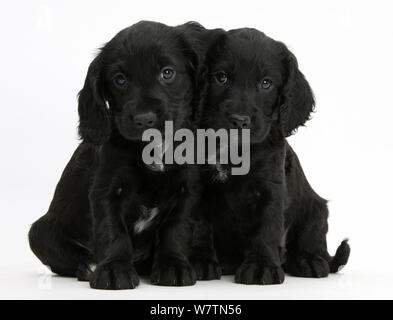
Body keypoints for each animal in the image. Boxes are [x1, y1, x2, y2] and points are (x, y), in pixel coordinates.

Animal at [28, 21, 204, 288]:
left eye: (167, 73)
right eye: (119, 80)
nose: (144, 119)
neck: (153, 148)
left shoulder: (186, 191)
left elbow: (175, 229)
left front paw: (173, 265)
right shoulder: (107, 190)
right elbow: (113, 232)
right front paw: (113, 270)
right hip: (39, 232)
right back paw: (89, 266)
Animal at [193, 28, 350, 284]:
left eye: (266, 83)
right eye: (221, 77)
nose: (239, 120)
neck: (234, 150)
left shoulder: (269, 188)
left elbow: (266, 228)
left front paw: (262, 266)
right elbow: (199, 225)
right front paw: (201, 262)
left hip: (316, 209)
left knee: (313, 240)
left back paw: (309, 261)